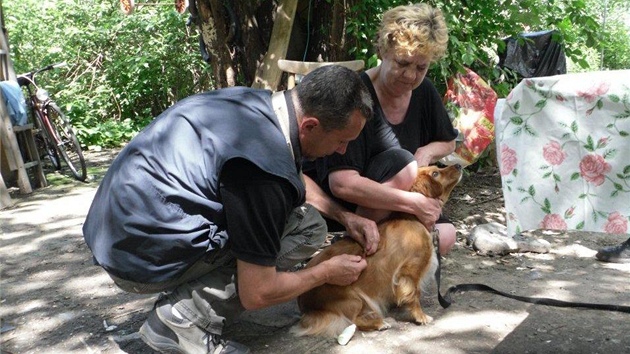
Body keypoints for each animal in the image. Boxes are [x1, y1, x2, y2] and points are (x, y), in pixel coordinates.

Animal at [294, 165, 462, 336]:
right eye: (435, 173)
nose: (459, 165)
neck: (412, 218)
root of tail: (304, 304)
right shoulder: (410, 271)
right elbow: (414, 294)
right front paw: (420, 316)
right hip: (353, 299)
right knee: (353, 321)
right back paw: (379, 323)